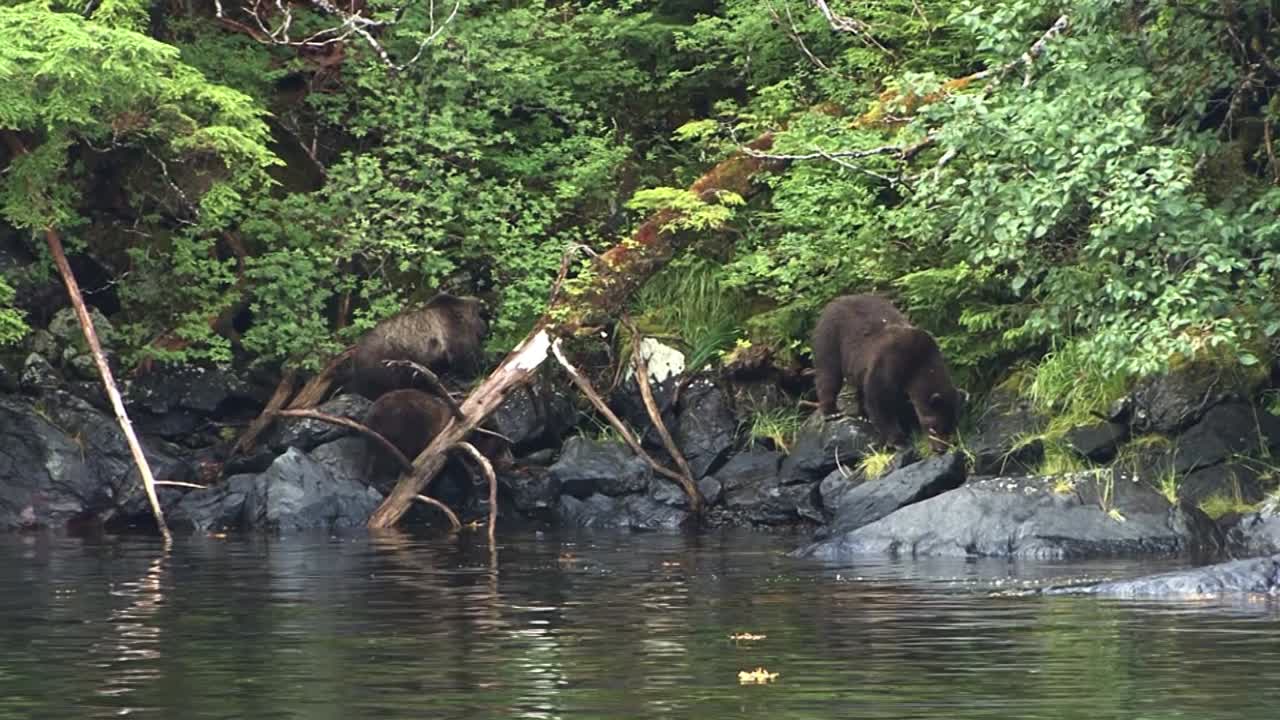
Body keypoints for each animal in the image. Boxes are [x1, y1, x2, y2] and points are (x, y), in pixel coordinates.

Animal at [811, 294, 962, 451]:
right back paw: (832, 412)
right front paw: (899, 440)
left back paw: (863, 414)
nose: (941, 449)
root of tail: (834, 301)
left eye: (951, 427)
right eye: (935, 427)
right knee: (829, 374)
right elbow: (880, 402)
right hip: (831, 340)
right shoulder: (889, 363)